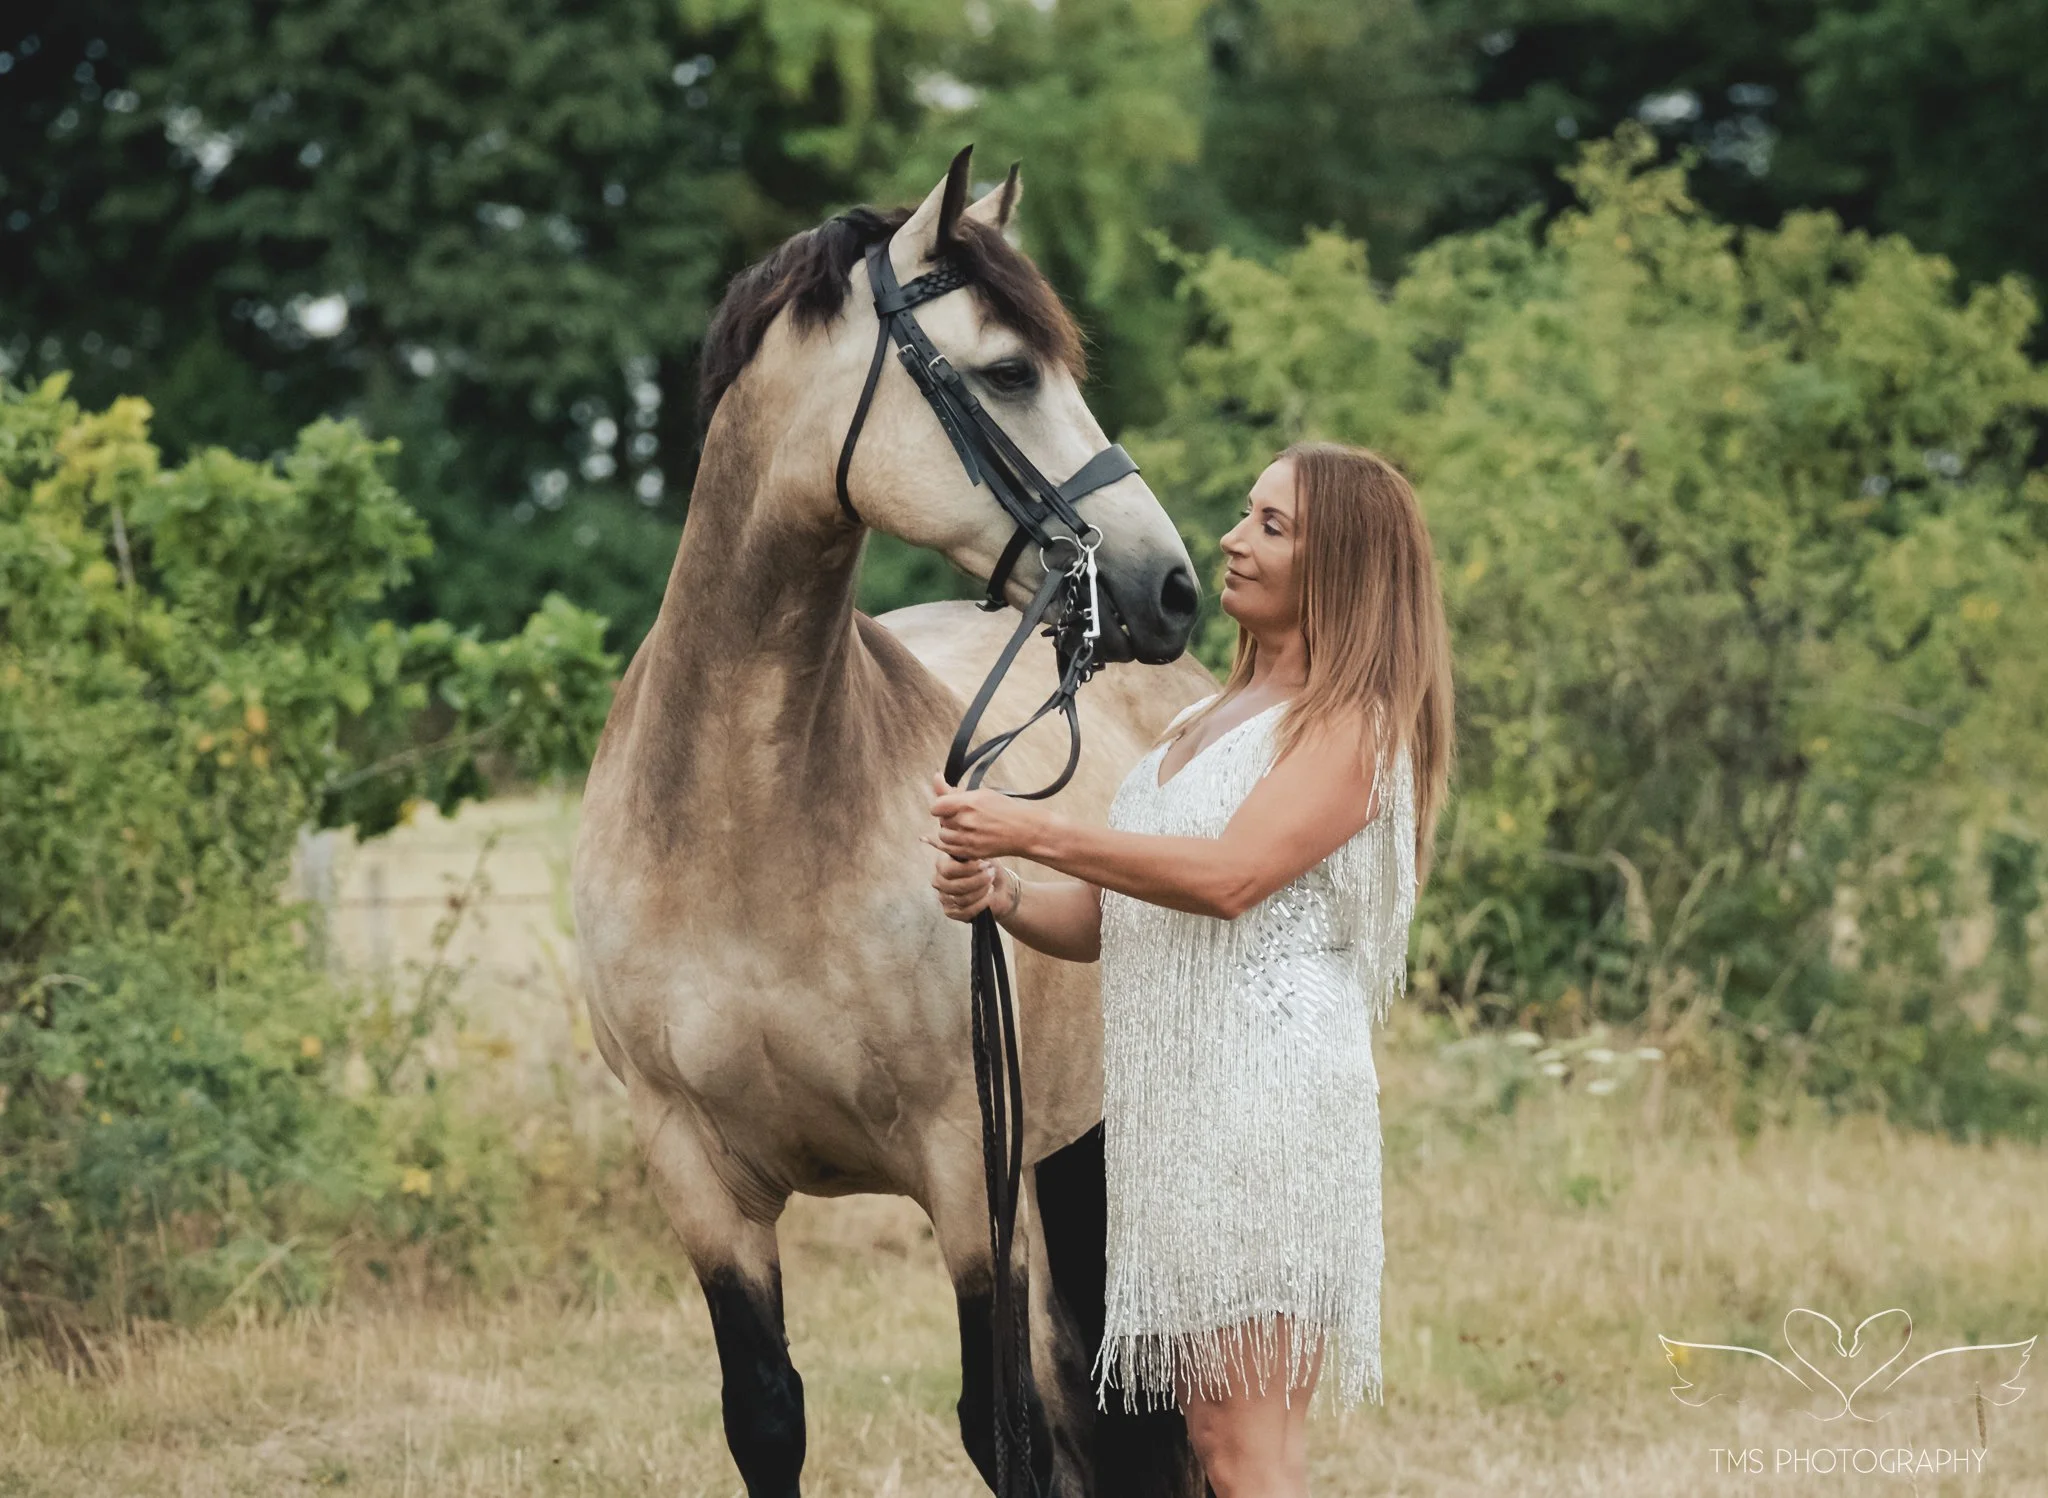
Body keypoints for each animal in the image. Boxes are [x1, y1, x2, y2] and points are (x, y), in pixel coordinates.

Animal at [570, 149, 1214, 1497]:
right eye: (1009, 371)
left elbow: (1002, 1428)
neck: (741, 831)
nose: (1169, 587)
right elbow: (765, 1416)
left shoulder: (969, 1170)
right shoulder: (696, 1179)